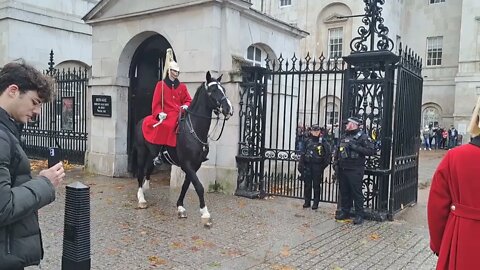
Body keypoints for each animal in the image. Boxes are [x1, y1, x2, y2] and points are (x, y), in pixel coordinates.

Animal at [132, 70, 233, 223]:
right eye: (213, 90)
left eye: (224, 90)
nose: (229, 109)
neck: (194, 130)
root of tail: (141, 121)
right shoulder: (187, 164)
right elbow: (199, 186)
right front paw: (205, 213)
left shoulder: (195, 165)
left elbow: (186, 185)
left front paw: (180, 207)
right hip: (142, 152)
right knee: (140, 173)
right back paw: (141, 199)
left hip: (152, 154)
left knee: (149, 169)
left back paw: (144, 189)